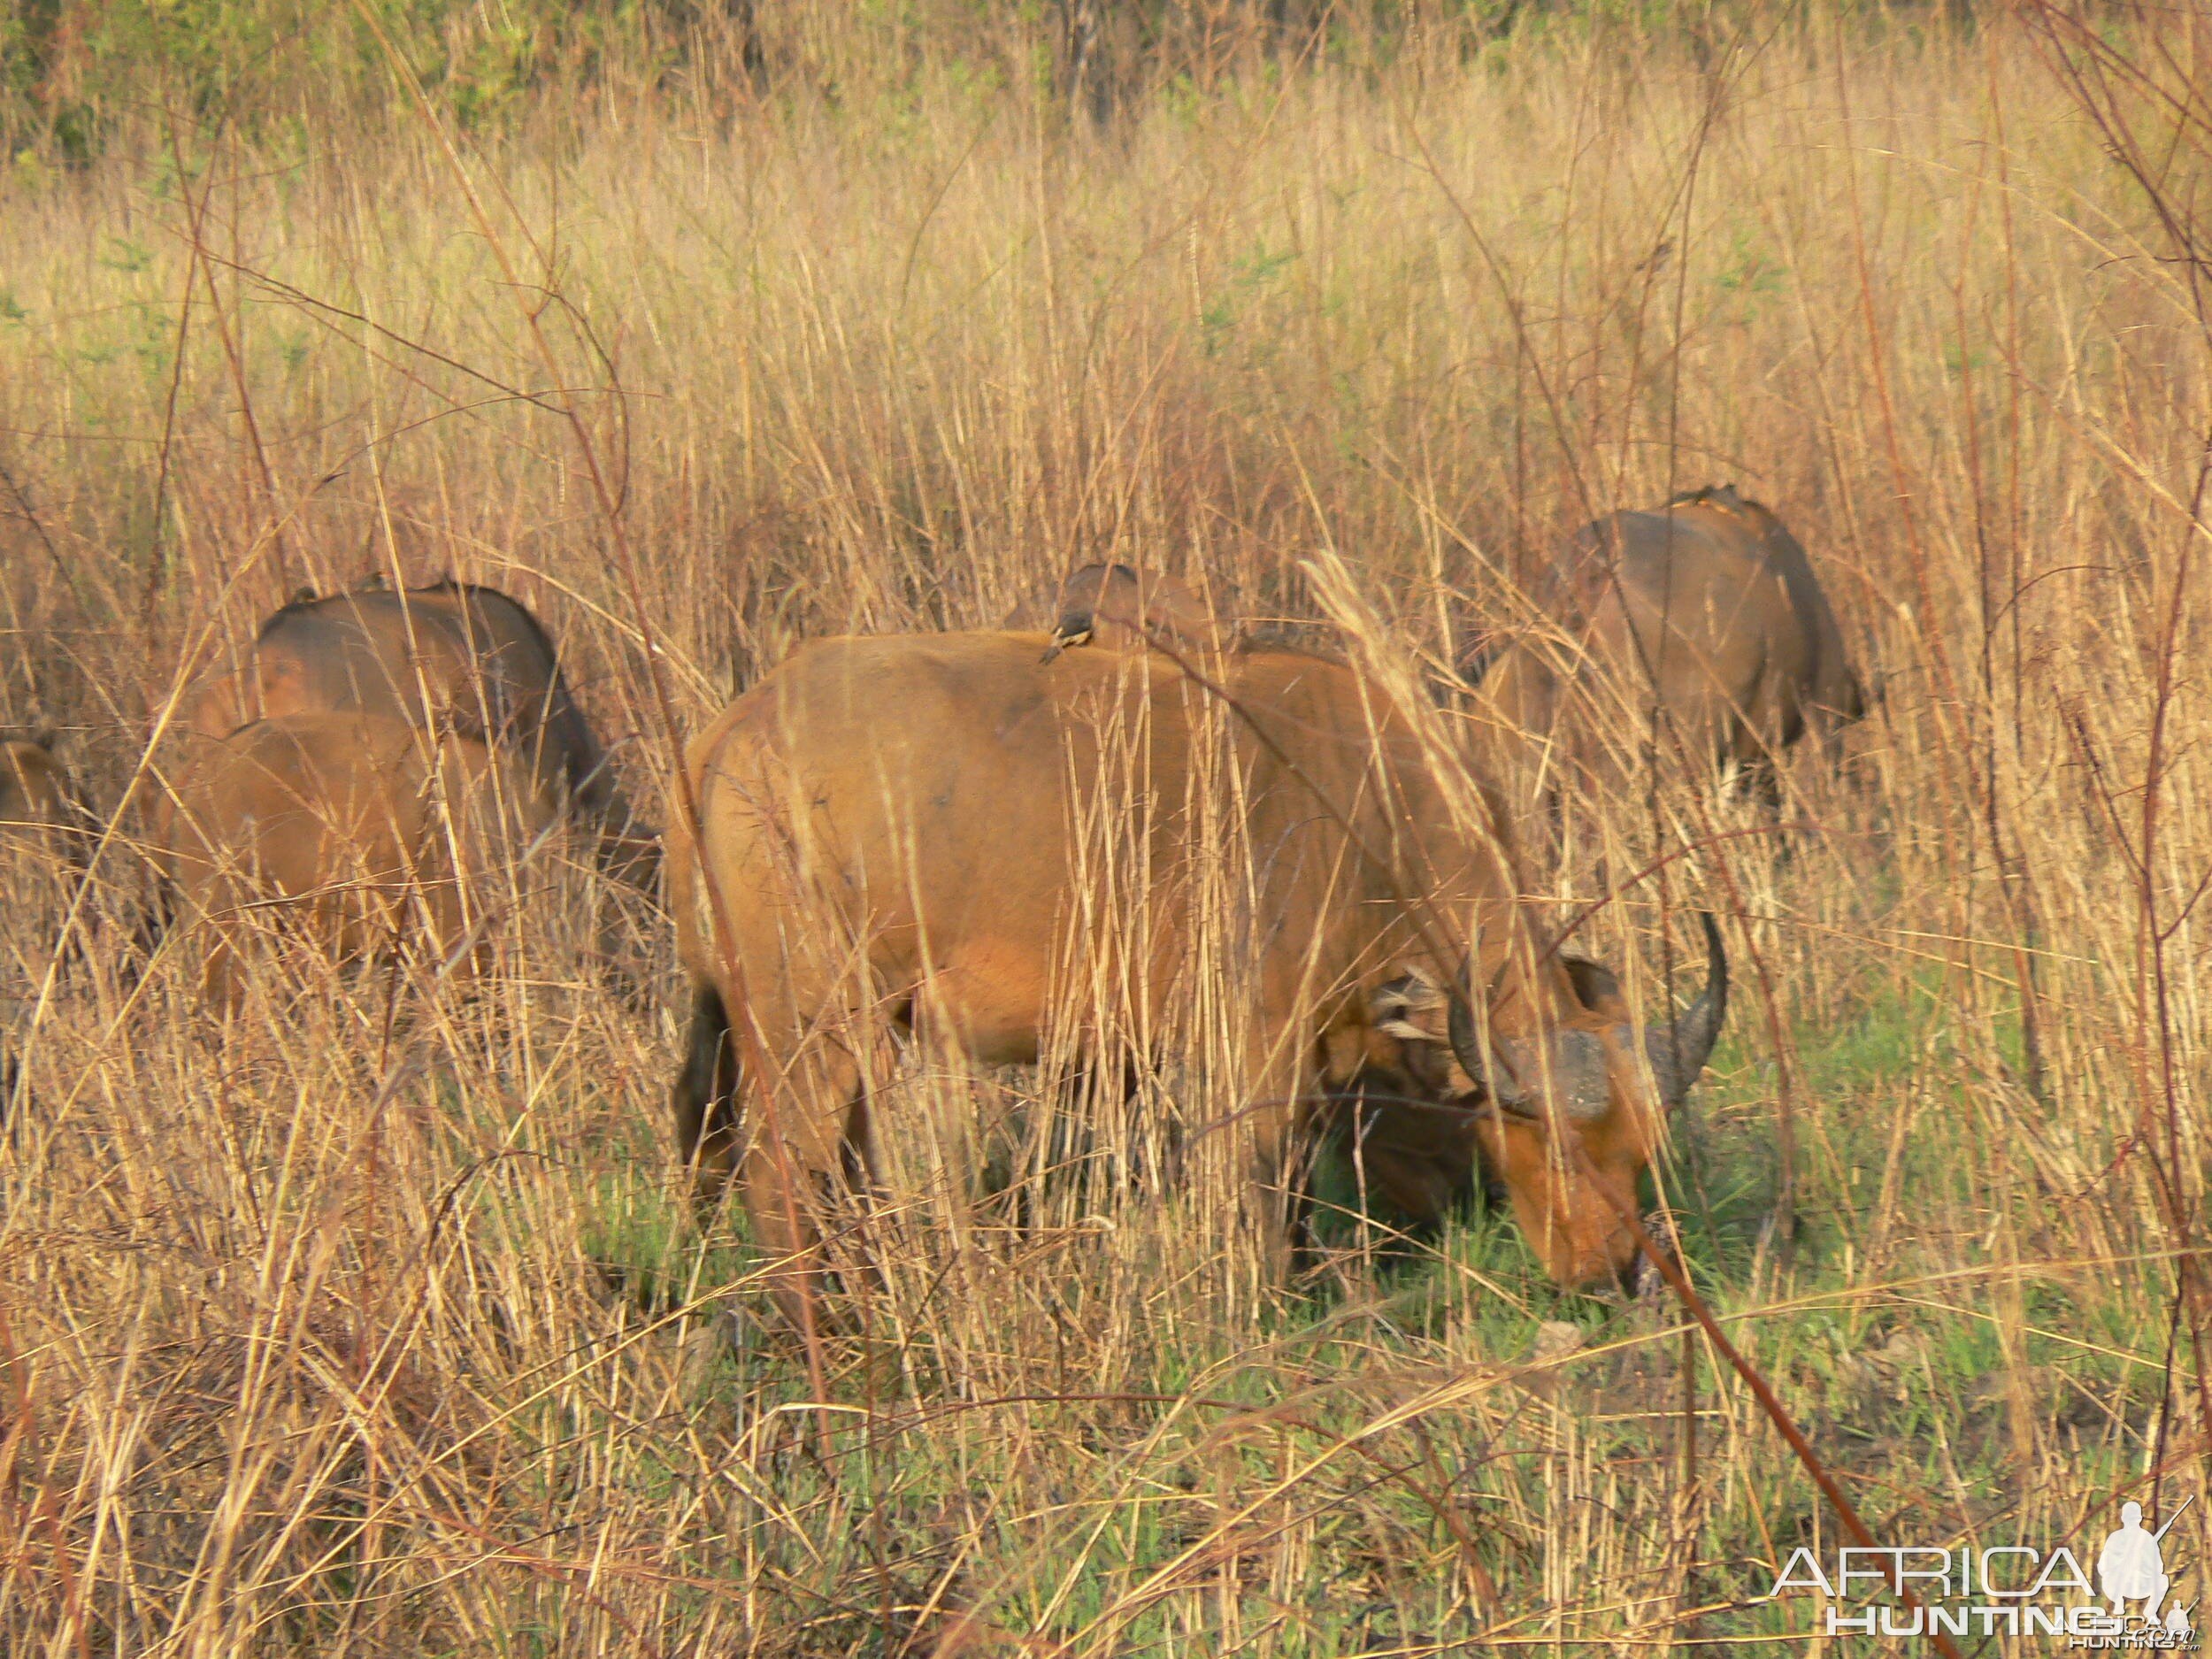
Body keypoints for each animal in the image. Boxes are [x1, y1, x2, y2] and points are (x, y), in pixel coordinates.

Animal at [664, 628, 1717, 1318]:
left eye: (1641, 1150)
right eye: (1564, 1147)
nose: (1612, 1271)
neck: (1357, 796)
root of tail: (733, 731)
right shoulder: (1259, 1050)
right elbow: (1262, 1179)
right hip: (816, 1029)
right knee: (783, 1174)